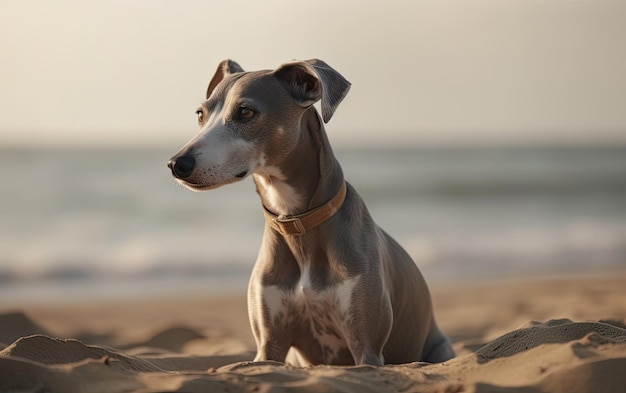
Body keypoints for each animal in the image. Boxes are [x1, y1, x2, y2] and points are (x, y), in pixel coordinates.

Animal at [168, 58, 454, 364]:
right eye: (201, 114)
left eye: (246, 112)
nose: (177, 164)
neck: (297, 222)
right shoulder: (269, 343)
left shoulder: (366, 346)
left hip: (439, 347)